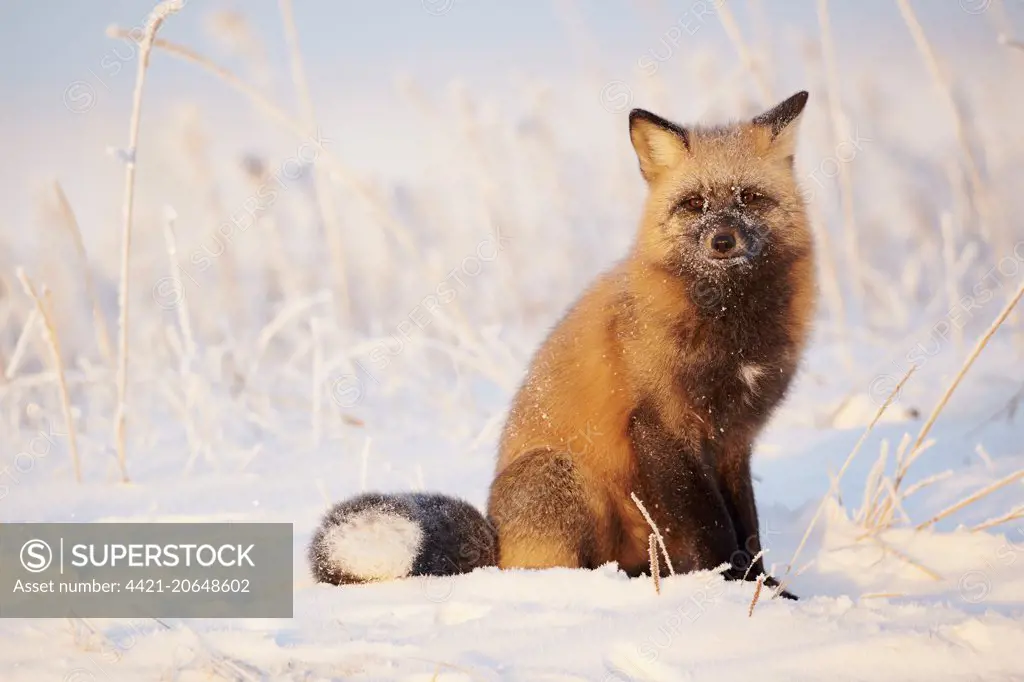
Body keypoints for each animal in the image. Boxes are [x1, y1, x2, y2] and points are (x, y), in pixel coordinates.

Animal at [309, 90, 815, 593]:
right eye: (694, 203)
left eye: (749, 198)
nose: (723, 241)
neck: (729, 324)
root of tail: (493, 543)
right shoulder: (663, 428)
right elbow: (712, 530)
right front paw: (733, 589)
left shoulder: (734, 439)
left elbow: (748, 529)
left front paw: (765, 588)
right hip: (563, 476)